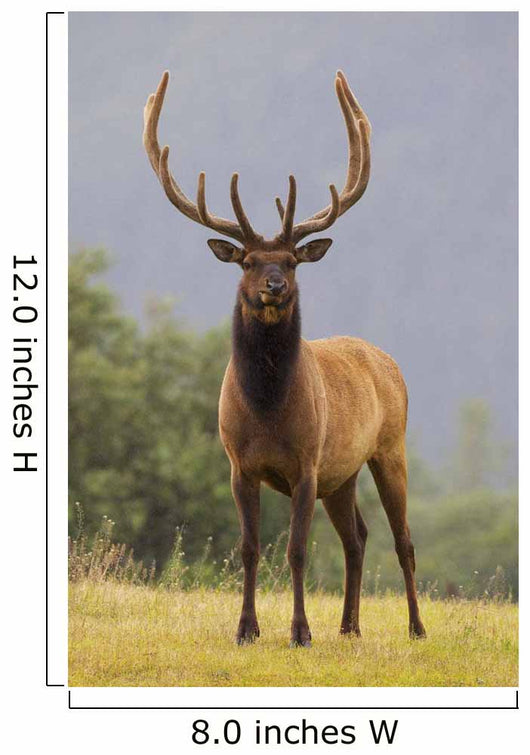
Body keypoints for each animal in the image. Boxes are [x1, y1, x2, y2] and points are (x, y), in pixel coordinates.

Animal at [143, 70, 426, 647]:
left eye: (293, 261)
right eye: (248, 261)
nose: (274, 284)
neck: (268, 412)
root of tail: (389, 362)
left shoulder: (306, 464)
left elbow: (296, 551)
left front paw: (299, 632)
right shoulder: (239, 465)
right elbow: (250, 550)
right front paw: (246, 629)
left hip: (389, 447)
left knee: (403, 539)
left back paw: (414, 628)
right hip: (343, 473)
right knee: (358, 537)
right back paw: (349, 627)